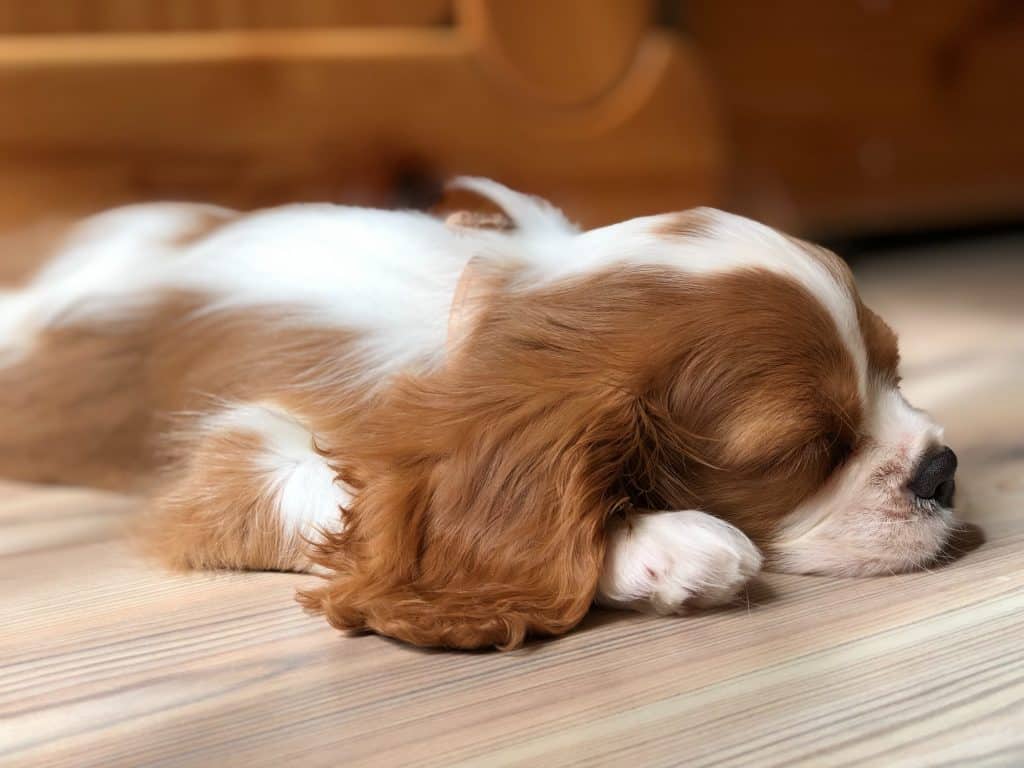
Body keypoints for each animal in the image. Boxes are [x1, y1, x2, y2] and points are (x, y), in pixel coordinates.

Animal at [0, 179, 958, 651]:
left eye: (897, 371)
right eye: (808, 448)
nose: (943, 470)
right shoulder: (229, 457)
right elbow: (355, 499)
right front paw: (655, 540)